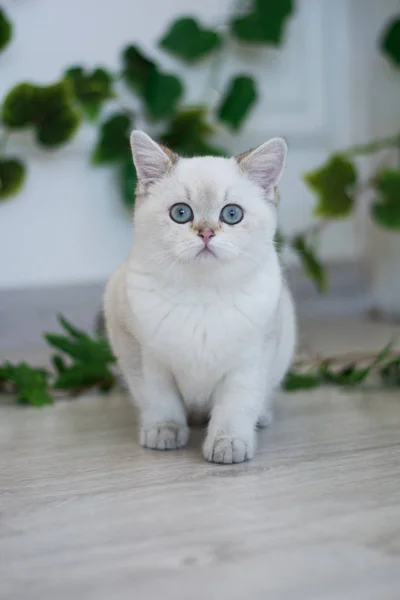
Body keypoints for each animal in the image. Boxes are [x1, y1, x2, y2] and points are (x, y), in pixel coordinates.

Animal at [104, 131, 296, 466]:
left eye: (232, 214)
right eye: (181, 213)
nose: (206, 233)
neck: (202, 295)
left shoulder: (252, 358)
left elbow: (236, 405)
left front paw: (228, 443)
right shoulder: (145, 356)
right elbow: (160, 399)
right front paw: (164, 432)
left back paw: (261, 418)